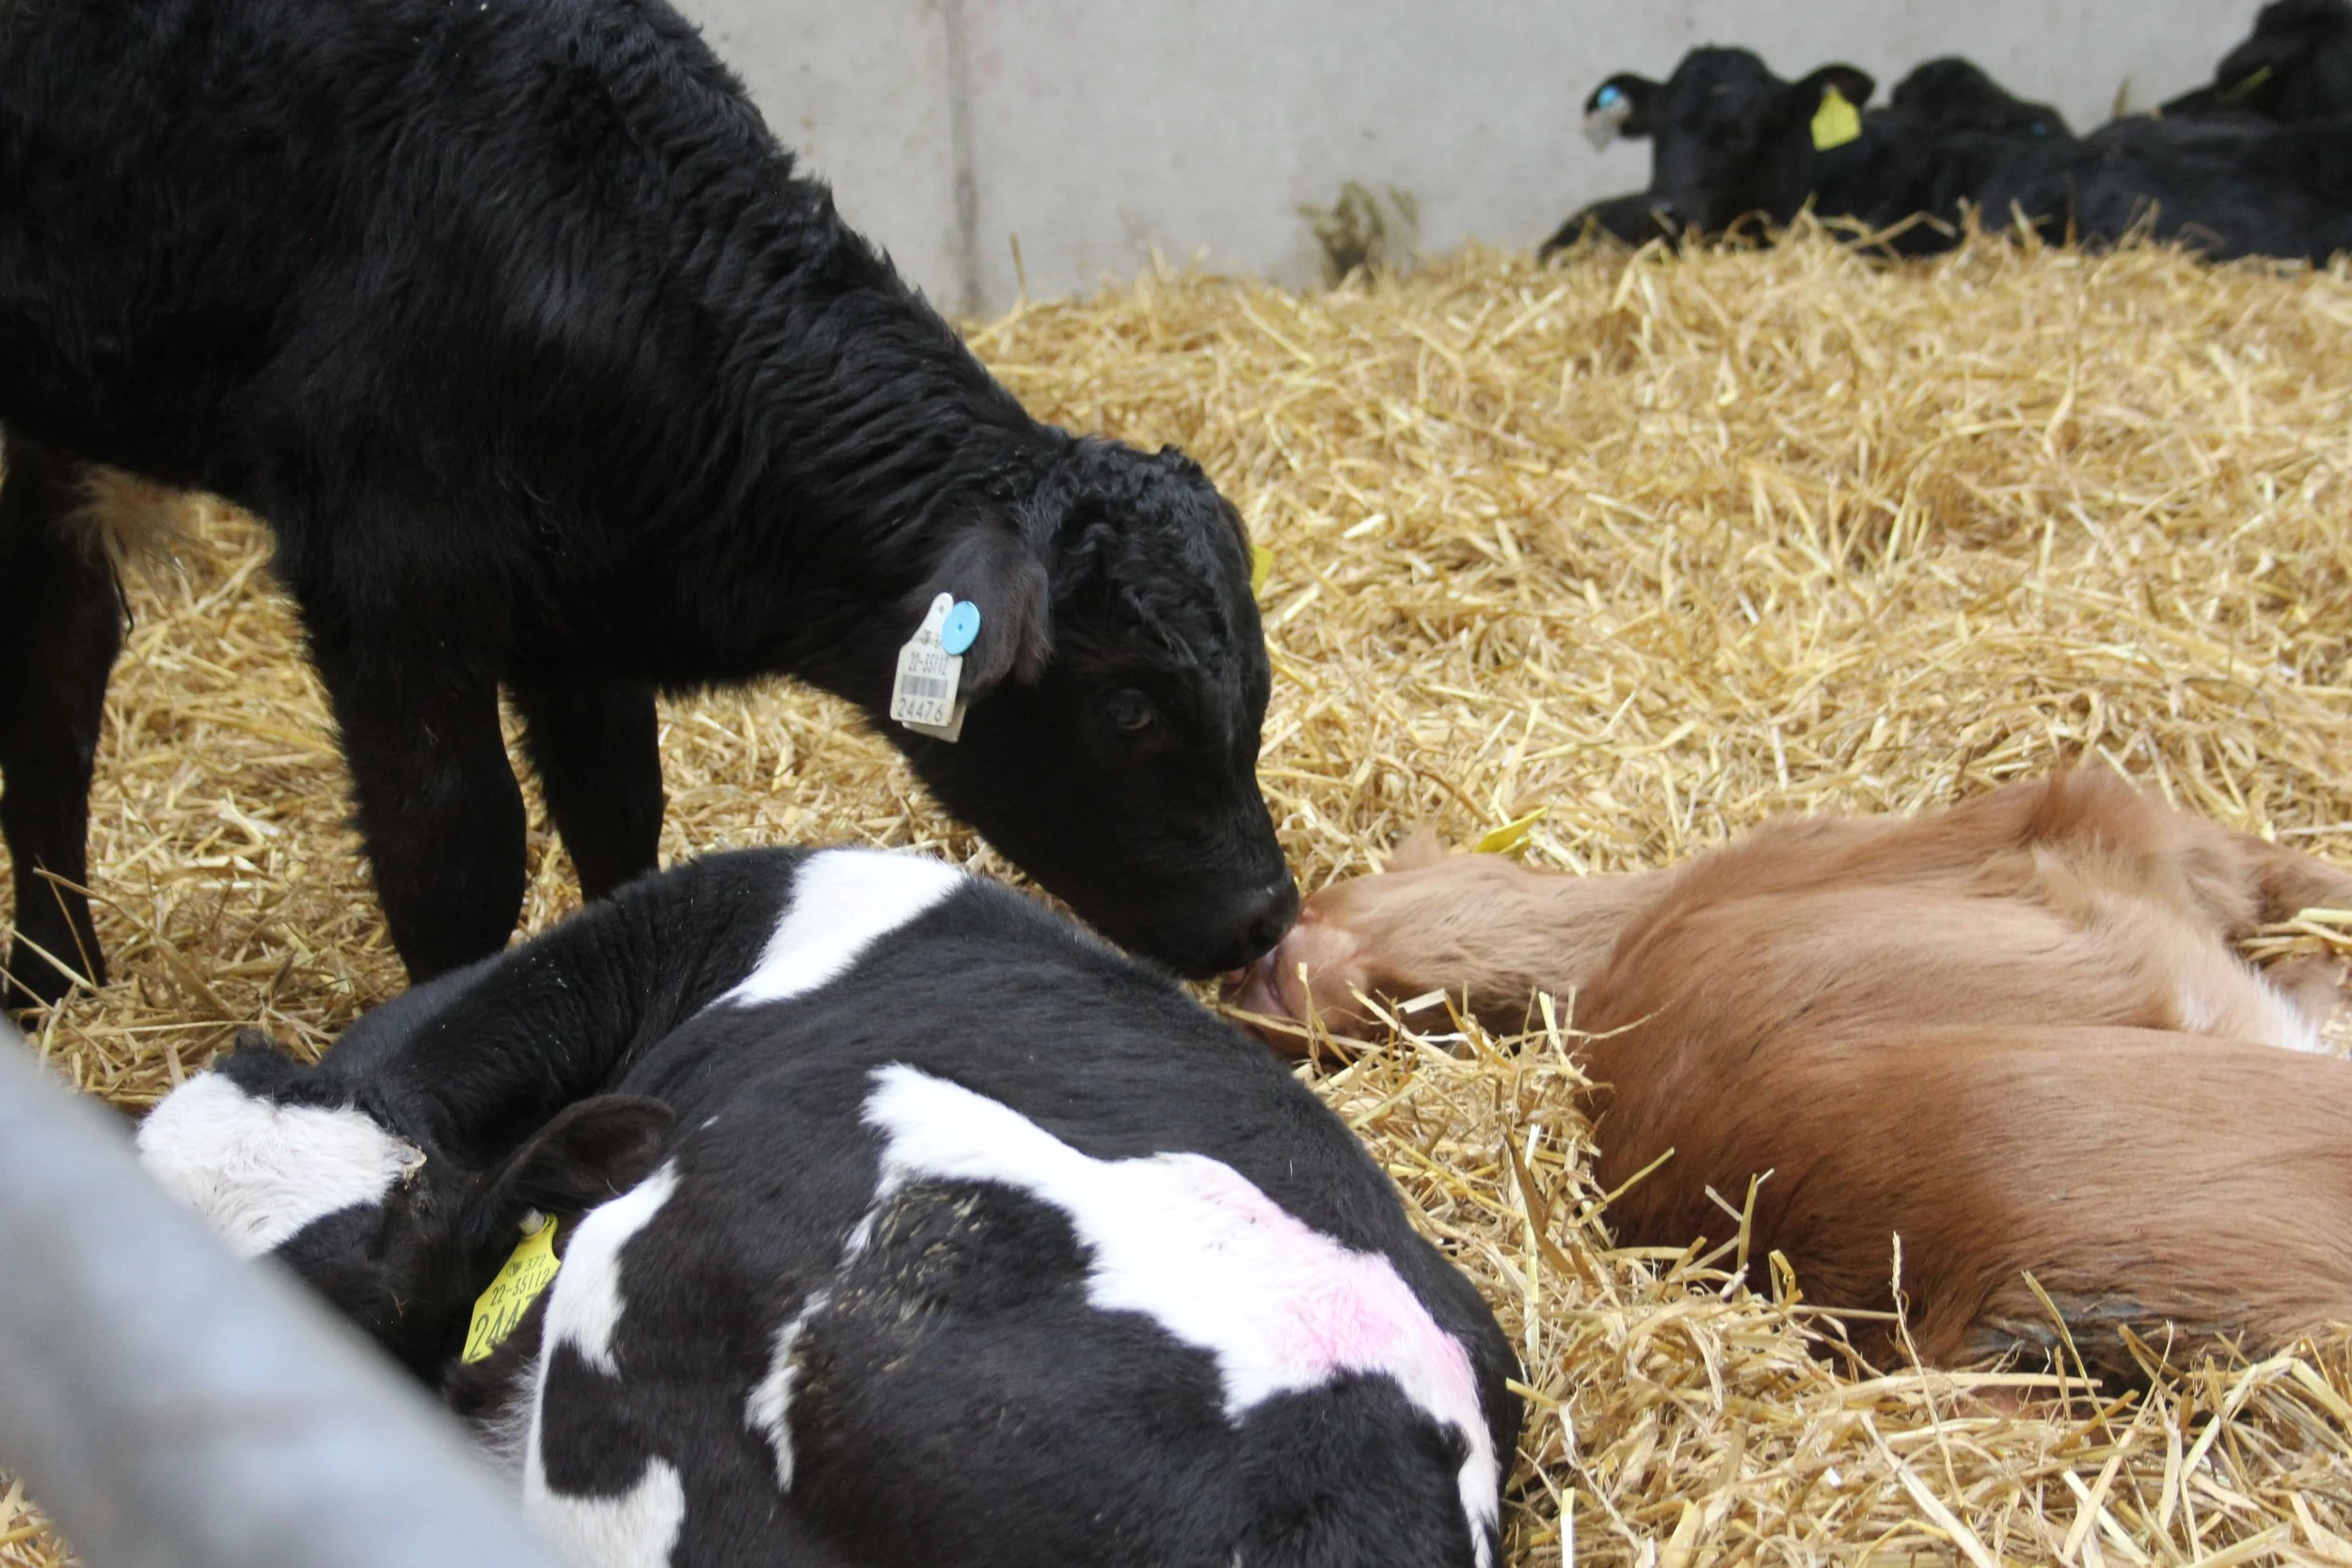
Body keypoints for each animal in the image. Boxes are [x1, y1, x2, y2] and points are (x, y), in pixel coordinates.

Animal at [0, 0, 1296, 1011]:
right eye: (1128, 708)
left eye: (1256, 684)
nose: (1268, 913)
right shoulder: (385, 575)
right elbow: (454, 854)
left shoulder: (578, 616)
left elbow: (619, 812)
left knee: (57, 661)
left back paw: (55, 978)